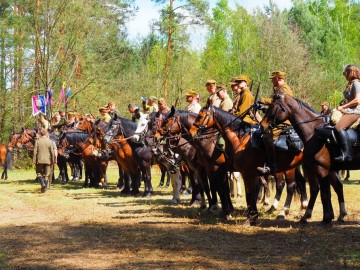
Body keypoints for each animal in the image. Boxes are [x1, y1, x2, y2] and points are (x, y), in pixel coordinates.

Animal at [260, 93, 348, 224]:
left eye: (273, 106)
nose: (262, 125)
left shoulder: (291, 168)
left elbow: (287, 185)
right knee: (337, 186)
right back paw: (340, 215)